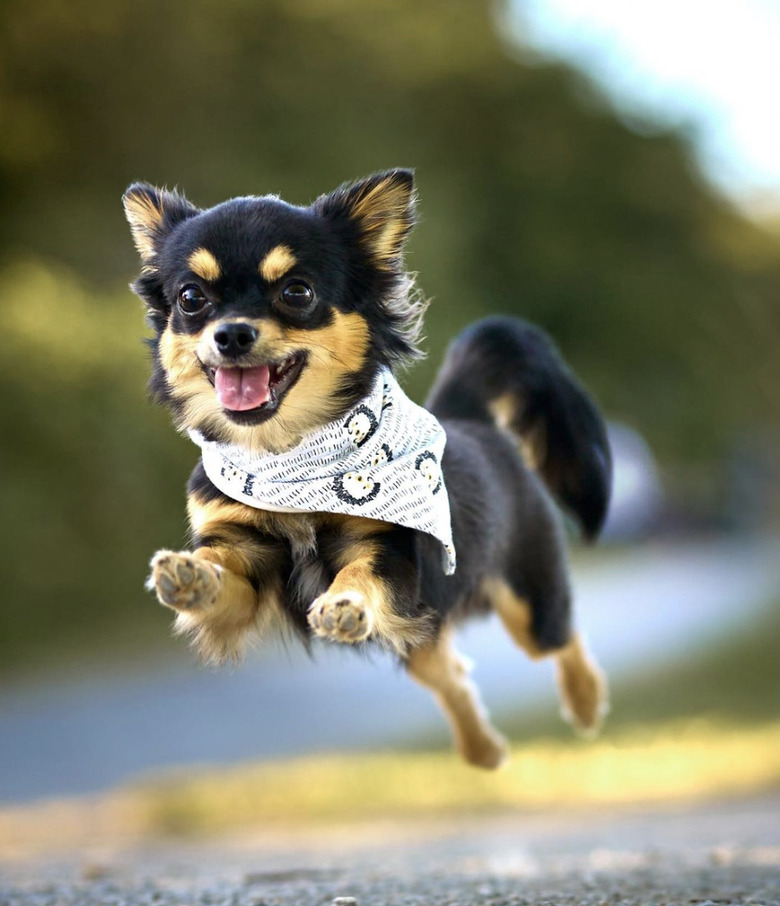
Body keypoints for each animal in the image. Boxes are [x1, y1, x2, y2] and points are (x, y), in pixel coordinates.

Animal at [122, 168, 612, 764]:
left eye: (297, 292)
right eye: (191, 299)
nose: (231, 333)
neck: (286, 456)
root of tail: (467, 415)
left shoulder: (387, 553)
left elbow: (358, 574)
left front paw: (343, 602)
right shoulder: (244, 563)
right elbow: (221, 572)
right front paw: (193, 573)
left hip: (525, 599)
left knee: (562, 637)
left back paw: (585, 703)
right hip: (422, 629)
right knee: (449, 671)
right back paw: (482, 750)